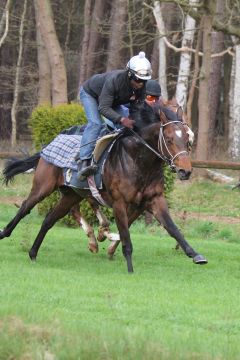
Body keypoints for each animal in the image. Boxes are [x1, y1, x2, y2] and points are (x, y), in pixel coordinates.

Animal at [0, 102, 207, 272]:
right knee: (25, 208)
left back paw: (33, 253)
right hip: (43, 186)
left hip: (71, 195)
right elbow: (126, 236)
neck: (138, 161)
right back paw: (4, 233)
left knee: (49, 219)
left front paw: (195, 255)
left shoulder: (153, 200)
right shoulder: (119, 202)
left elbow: (172, 228)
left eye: (187, 140)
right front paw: (129, 268)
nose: (185, 171)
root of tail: (49, 144)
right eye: (170, 139)